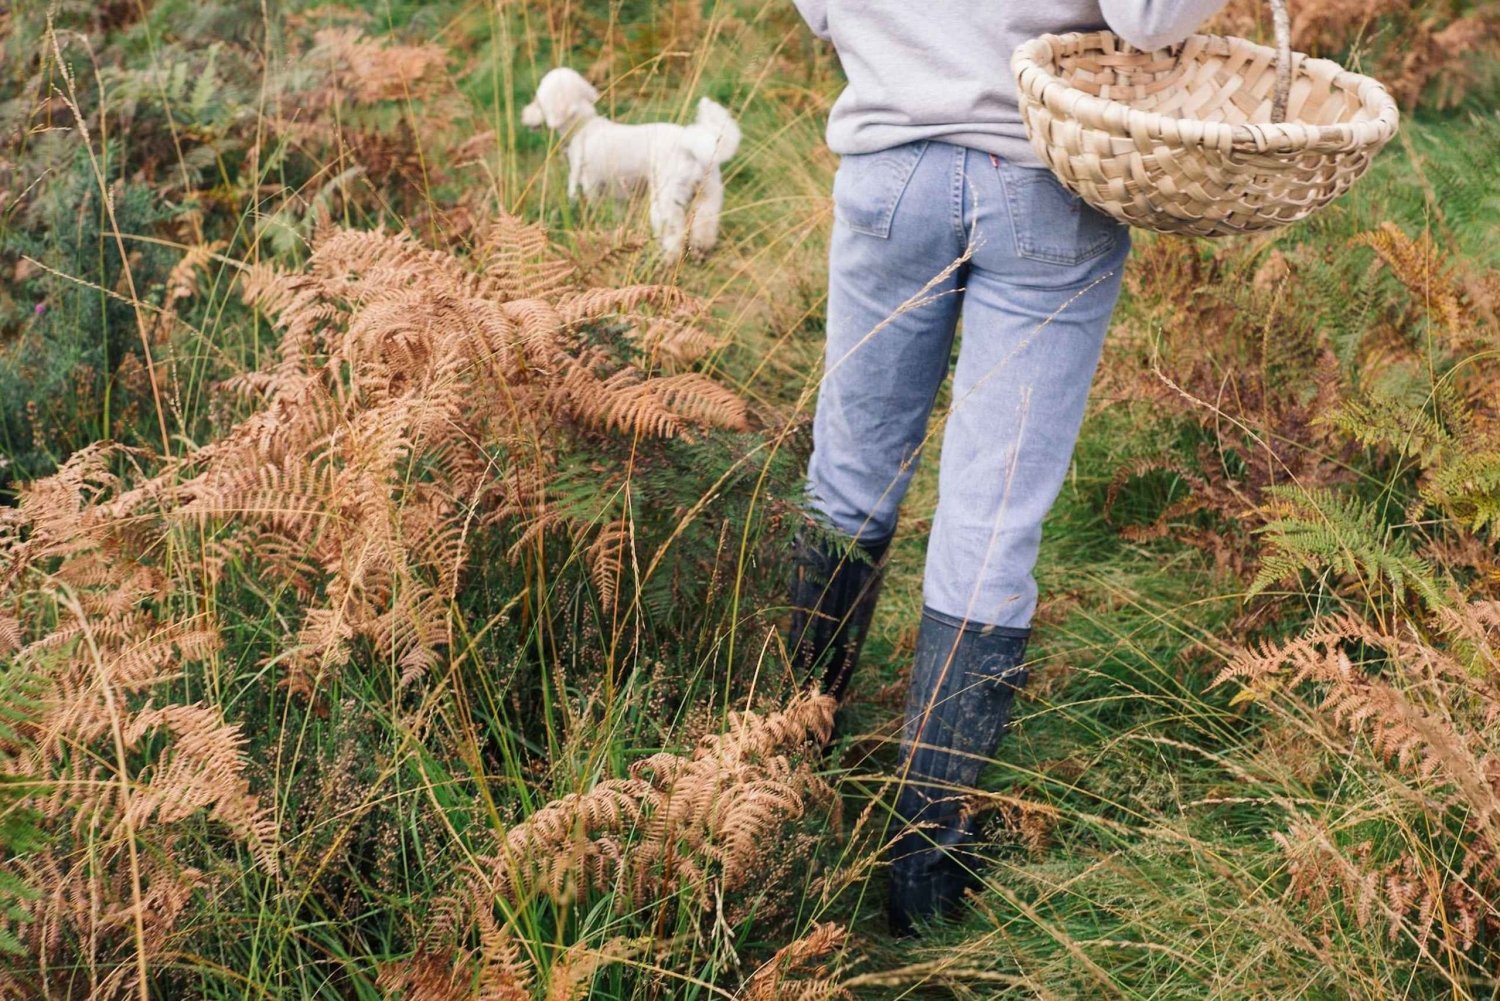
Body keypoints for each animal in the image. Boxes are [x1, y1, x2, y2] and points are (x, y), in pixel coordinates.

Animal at [522, 68, 744, 258]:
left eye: (537, 102)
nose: (523, 115)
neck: (584, 127)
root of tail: (690, 143)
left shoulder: (590, 186)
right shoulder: (620, 197)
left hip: (665, 198)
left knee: (673, 234)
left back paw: (665, 259)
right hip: (709, 194)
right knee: (705, 227)